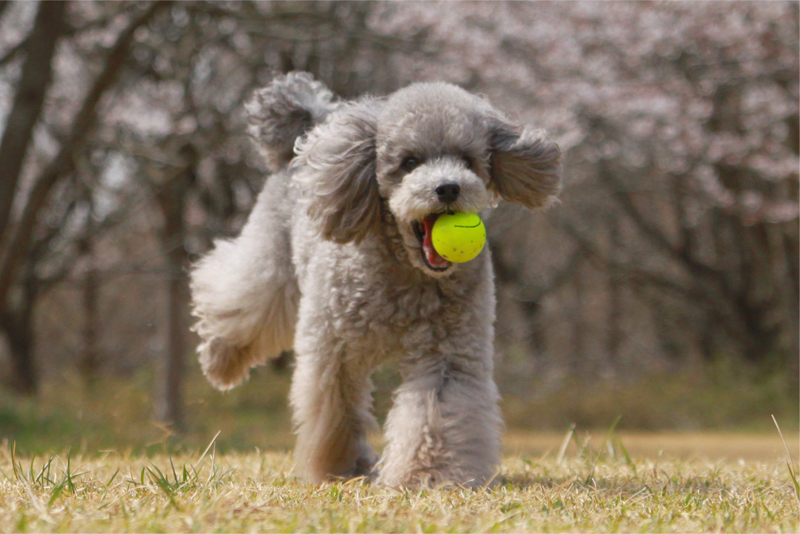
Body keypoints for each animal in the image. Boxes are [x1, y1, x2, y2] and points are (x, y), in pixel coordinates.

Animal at [190, 72, 560, 490]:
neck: (406, 272)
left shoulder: (449, 352)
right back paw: (220, 360)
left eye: (467, 160)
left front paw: (429, 475)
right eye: (409, 162)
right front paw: (340, 466)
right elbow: (335, 411)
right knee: (239, 299)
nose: (448, 187)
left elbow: (437, 408)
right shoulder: (333, 348)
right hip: (272, 261)